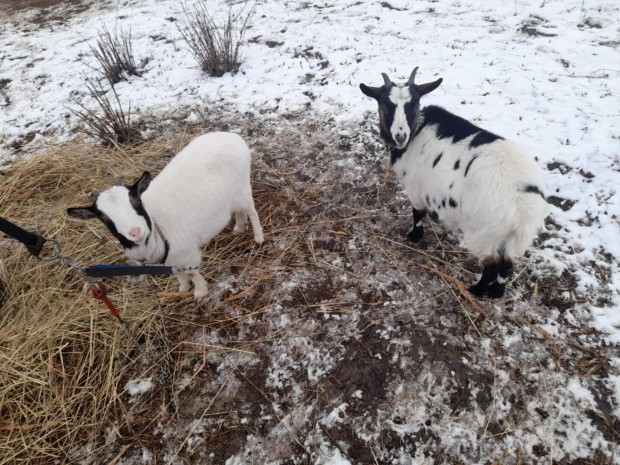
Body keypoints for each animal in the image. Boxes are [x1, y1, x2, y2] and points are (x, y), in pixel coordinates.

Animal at [68, 130, 266, 300]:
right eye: (103, 218)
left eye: (136, 200)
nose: (135, 232)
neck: (156, 230)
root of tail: (233, 137)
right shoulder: (170, 260)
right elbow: (176, 273)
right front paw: (183, 287)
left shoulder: (186, 253)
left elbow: (192, 272)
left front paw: (200, 292)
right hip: (232, 195)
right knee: (239, 211)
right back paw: (238, 228)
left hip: (242, 188)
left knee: (252, 211)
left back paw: (258, 237)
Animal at [358, 69, 548, 298]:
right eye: (384, 105)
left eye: (414, 105)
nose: (400, 136)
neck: (417, 131)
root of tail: (523, 204)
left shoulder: (415, 189)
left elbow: (417, 213)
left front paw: (414, 236)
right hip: (506, 235)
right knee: (507, 264)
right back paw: (496, 292)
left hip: (482, 234)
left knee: (492, 266)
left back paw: (475, 290)